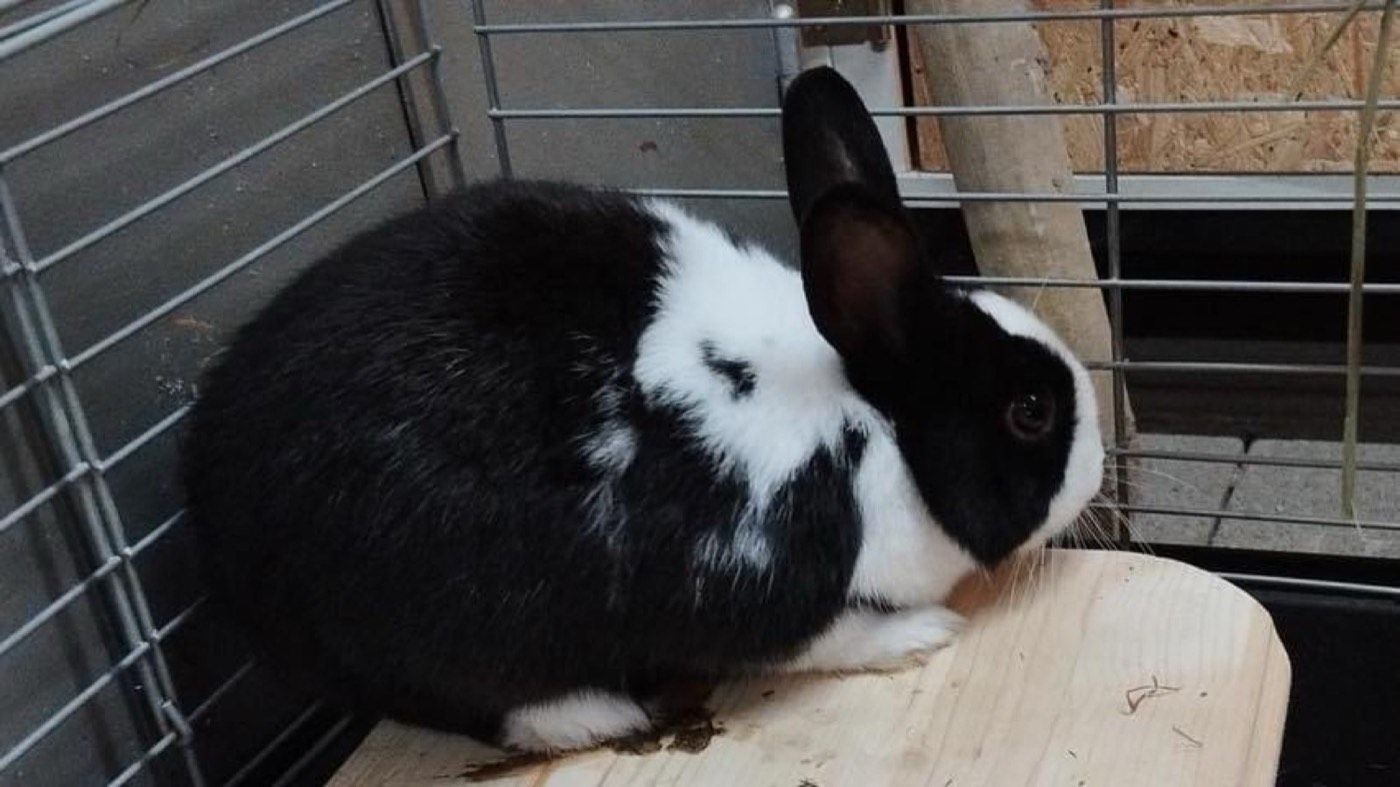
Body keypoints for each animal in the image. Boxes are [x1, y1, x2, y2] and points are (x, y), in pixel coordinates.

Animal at [181, 66, 1104, 753]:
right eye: (1030, 410)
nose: (1097, 474)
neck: (872, 427)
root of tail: (216, 530)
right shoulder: (756, 578)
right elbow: (823, 638)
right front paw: (918, 633)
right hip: (433, 613)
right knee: (464, 697)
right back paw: (594, 714)